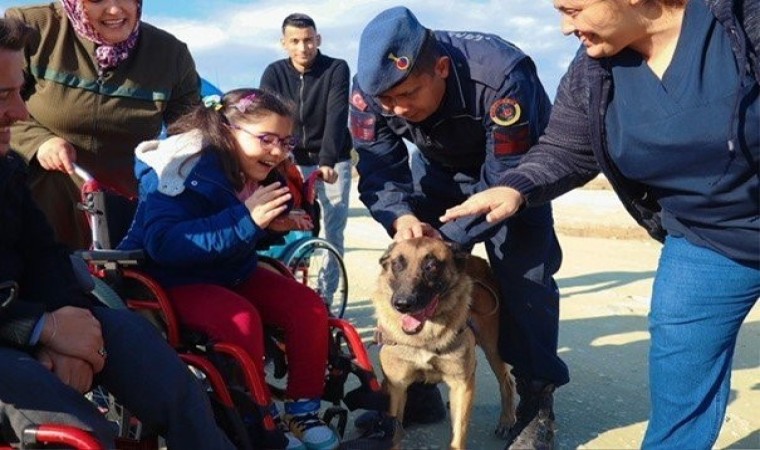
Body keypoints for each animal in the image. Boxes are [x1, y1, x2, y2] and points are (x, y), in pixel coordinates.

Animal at [372, 237, 516, 448]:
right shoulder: (396, 387)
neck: (426, 337)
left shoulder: (461, 385)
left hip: (492, 349)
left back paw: (507, 420)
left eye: (431, 266)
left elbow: (458, 435)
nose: (402, 304)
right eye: (397, 264)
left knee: (507, 382)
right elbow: (394, 433)